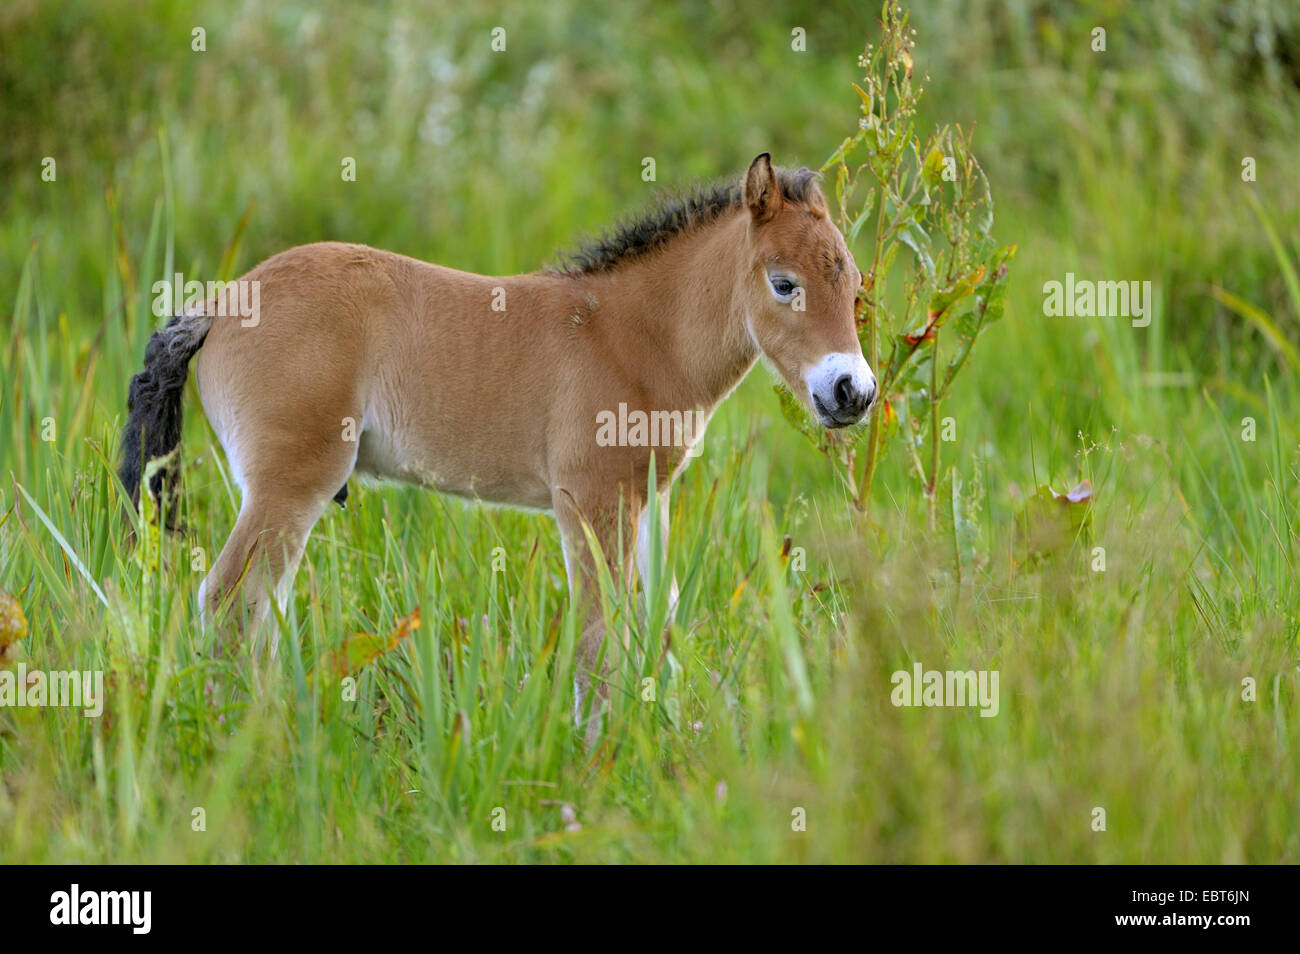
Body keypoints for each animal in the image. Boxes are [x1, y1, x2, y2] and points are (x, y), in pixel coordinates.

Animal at [119, 155, 873, 717]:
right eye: (784, 284)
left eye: (855, 281)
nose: (853, 393)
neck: (633, 336)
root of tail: (218, 305)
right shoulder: (588, 499)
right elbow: (599, 635)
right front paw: (594, 759)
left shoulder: (645, 499)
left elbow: (653, 620)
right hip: (289, 485)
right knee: (229, 604)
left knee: (255, 612)